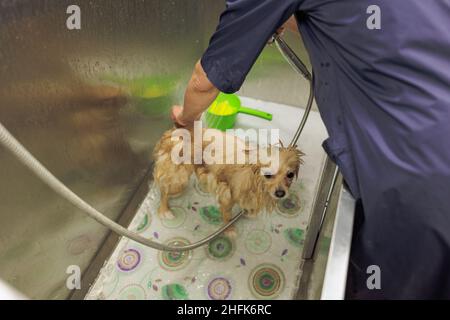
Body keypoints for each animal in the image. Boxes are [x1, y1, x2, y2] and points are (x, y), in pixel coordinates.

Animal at [153, 127, 304, 235]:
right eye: (268, 175)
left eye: (290, 174)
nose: (280, 193)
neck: (254, 179)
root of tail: (171, 132)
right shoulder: (227, 193)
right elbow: (227, 214)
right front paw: (229, 230)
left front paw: (250, 212)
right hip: (179, 173)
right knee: (164, 190)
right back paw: (165, 209)